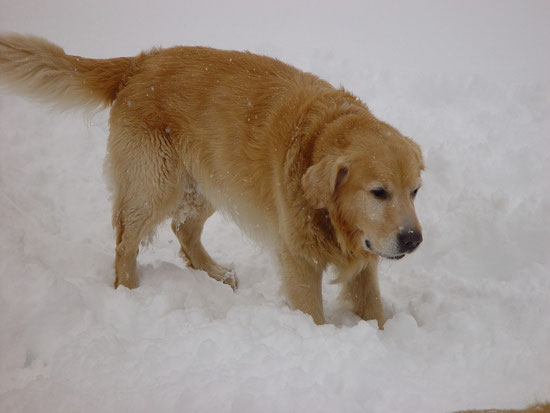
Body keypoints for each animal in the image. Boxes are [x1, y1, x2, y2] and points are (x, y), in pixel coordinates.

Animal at [0, 34, 426, 326]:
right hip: (155, 183)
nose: (413, 239)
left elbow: (373, 309)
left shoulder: (365, 261)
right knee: (125, 241)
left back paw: (215, 274)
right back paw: (130, 292)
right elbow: (312, 312)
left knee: (183, 229)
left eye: (415, 192)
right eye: (378, 192)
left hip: (209, 181)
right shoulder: (299, 257)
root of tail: (139, 63)